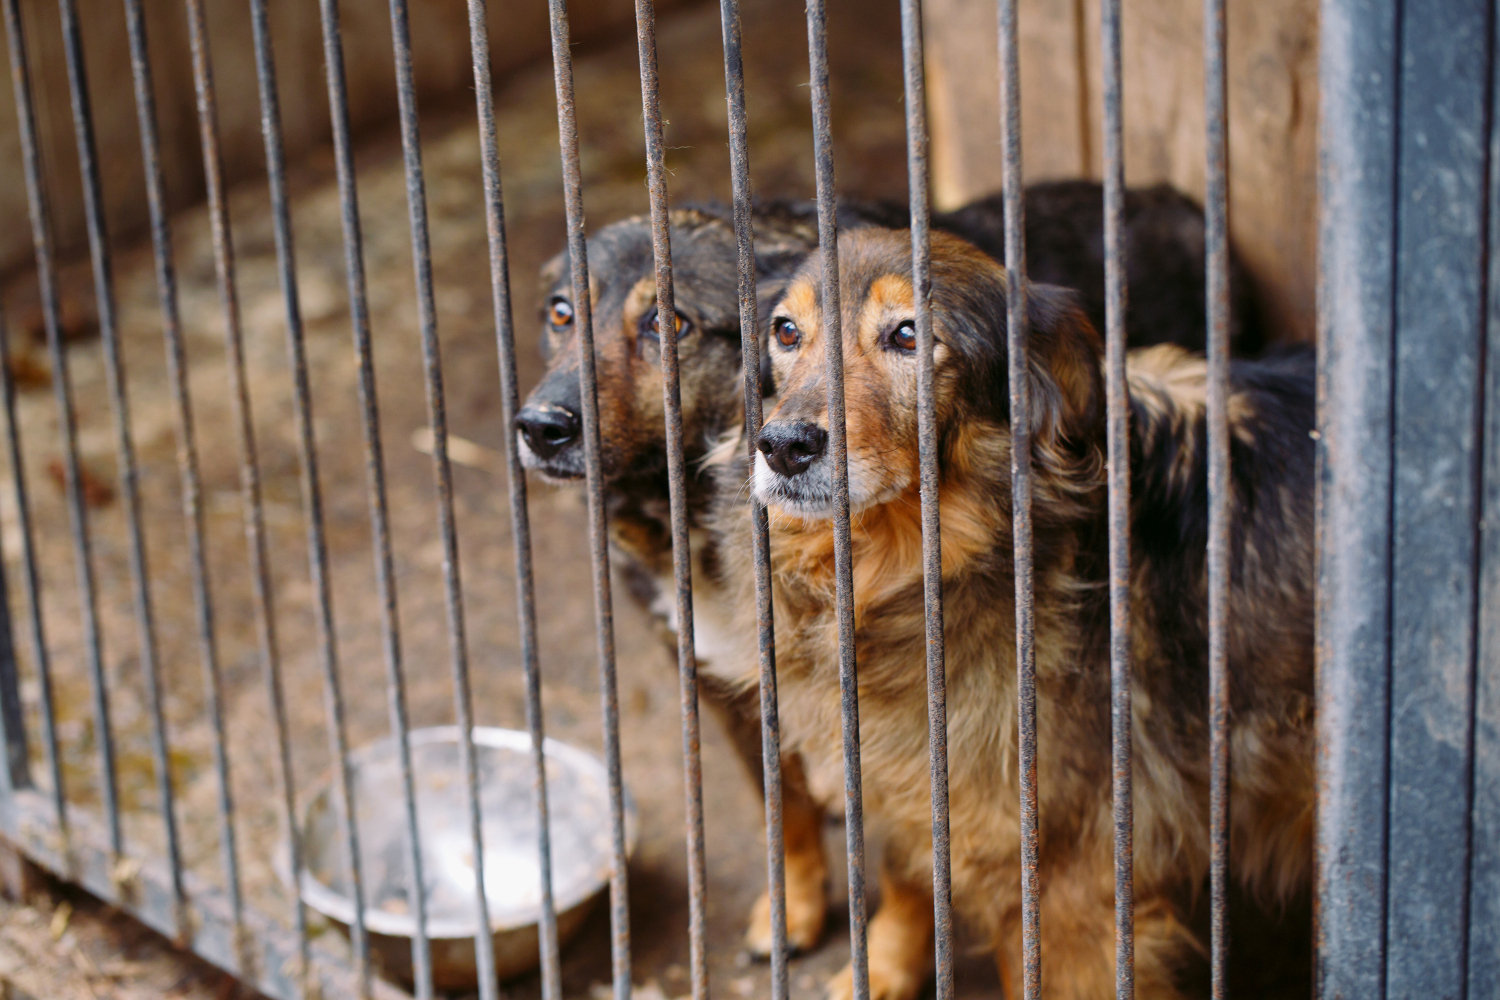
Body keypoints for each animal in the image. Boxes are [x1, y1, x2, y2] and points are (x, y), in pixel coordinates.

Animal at [714, 229, 1314, 1000]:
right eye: (786, 332)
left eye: (909, 335)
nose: (784, 446)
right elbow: (908, 871)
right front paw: (885, 966)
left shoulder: (1069, 883)